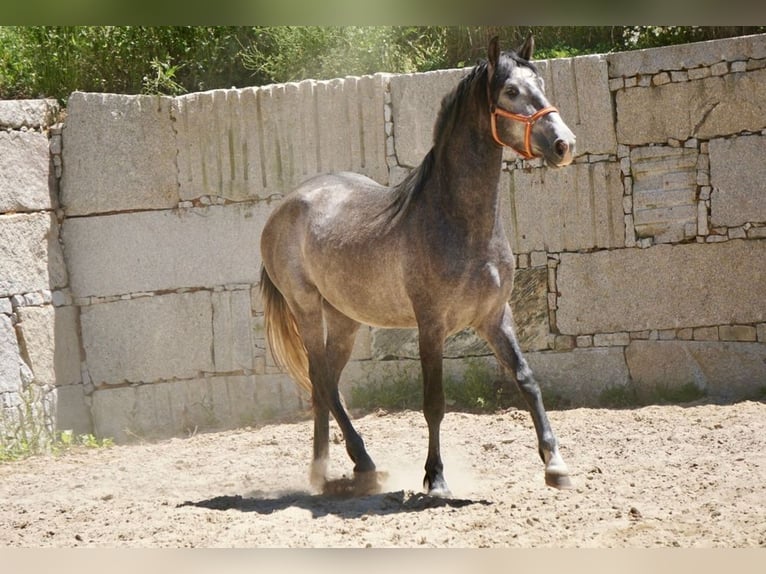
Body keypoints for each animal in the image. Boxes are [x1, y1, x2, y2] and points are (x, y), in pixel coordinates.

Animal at [260, 35, 576, 500]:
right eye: (511, 91)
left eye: (540, 83)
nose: (563, 144)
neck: (460, 223)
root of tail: (285, 206)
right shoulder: (431, 324)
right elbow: (434, 403)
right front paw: (436, 478)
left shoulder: (495, 317)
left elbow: (527, 380)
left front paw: (556, 466)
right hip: (306, 309)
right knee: (321, 378)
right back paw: (356, 466)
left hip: (345, 319)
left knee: (325, 385)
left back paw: (328, 473)